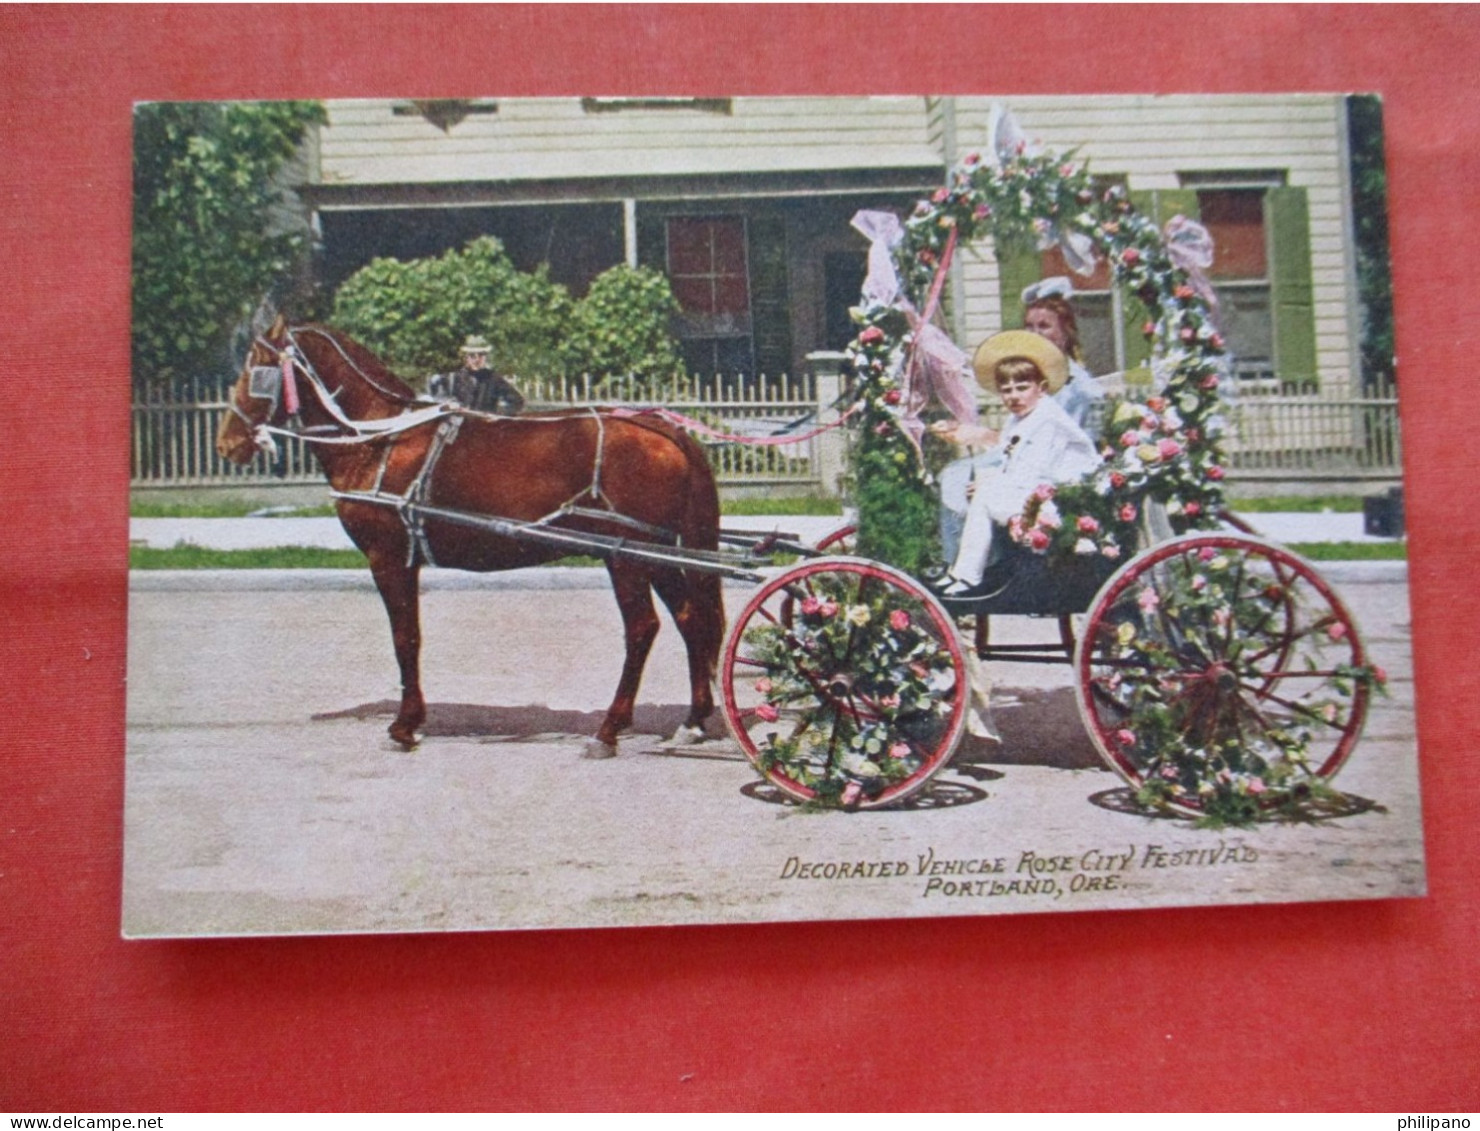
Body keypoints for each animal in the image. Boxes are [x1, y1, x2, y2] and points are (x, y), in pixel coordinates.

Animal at [216, 318, 725, 754]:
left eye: (256, 367)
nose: (227, 444)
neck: (378, 441)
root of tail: (666, 430)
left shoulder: (388, 557)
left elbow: (405, 637)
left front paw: (405, 725)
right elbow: (410, 636)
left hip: (626, 557)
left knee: (642, 629)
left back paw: (609, 729)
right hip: (655, 551)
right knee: (690, 619)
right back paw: (693, 721)